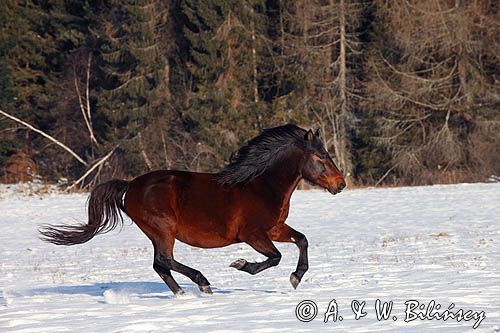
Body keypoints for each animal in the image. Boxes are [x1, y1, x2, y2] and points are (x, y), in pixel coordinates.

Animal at [39, 124, 346, 294]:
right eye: (320, 156)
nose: (340, 184)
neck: (260, 185)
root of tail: (131, 186)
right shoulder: (252, 234)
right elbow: (275, 257)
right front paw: (241, 264)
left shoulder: (275, 229)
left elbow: (302, 240)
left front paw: (296, 278)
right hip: (163, 229)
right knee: (164, 260)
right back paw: (203, 283)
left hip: (158, 233)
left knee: (160, 265)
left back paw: (183, 294)